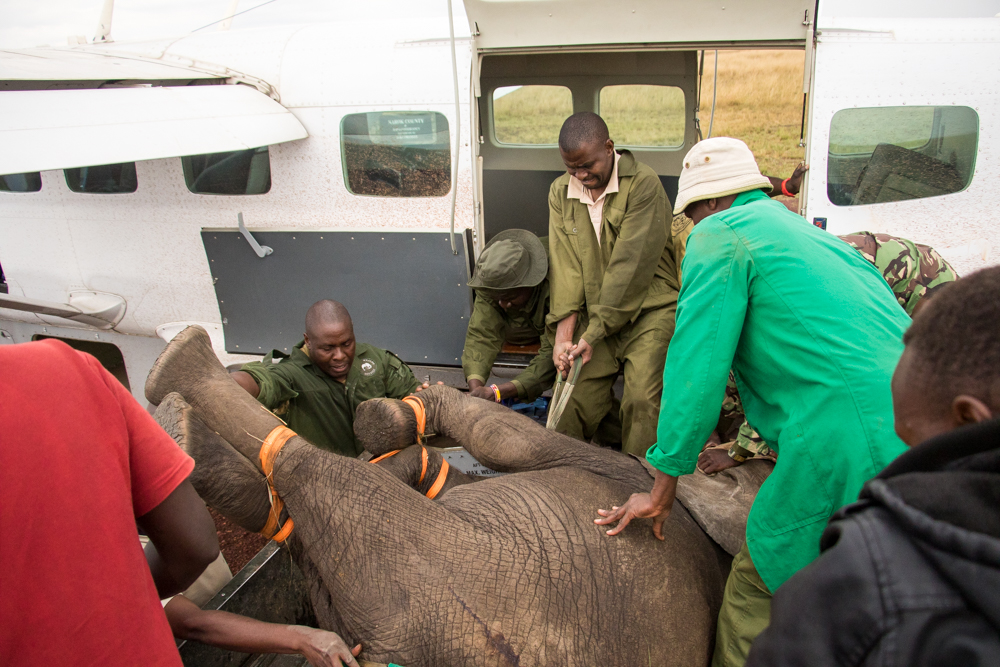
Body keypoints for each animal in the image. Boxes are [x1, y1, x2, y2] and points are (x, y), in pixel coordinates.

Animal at [145, 326, 768, 664]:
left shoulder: (621, 476)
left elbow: (489, 442)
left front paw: (392, 424)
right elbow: (463, 451)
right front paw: (392, 424)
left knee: (325, 486)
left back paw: (178, 407)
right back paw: (179, 400)